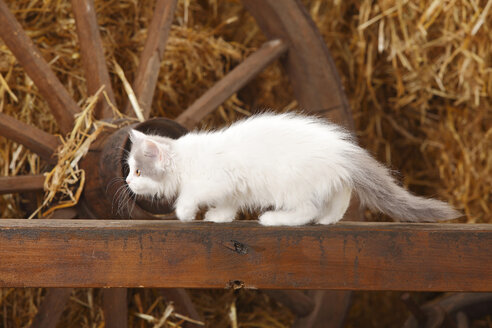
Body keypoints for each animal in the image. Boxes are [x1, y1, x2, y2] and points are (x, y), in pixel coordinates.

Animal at [125, 113, 460, 226]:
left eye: (138, 172)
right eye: (129, 170)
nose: (127, 181)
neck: (186, 160)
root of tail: (344, 152)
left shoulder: (214, 180)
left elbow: (190, 195)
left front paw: (183, 213)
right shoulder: (233, 187)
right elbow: (229, 205)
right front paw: (219, 217)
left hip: (292, 185)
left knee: (306, 210)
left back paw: (275, 219)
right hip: (330, 181)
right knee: (339, 200)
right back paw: (327, 220)